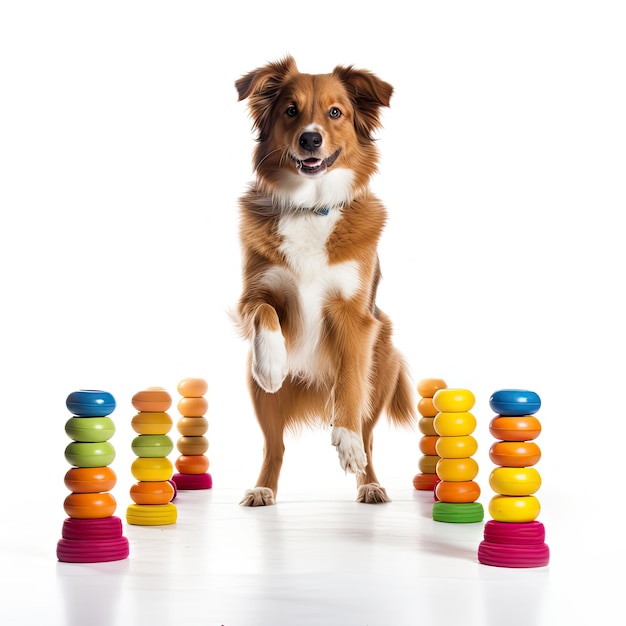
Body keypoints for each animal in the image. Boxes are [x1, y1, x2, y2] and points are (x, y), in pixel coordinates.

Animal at [232, 56, 412, 504]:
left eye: (335, 112)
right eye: (290, 110)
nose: (310, 140)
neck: (310, 206)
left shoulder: (356, 316)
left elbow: (348, 384)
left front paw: (344, 440)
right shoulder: (251, 295)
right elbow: (264, 311)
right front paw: (273, 361)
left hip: (382, 368)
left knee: (368, 440)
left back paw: (369, 482)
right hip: (259, 396)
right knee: (274, 446)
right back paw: (262, 489)